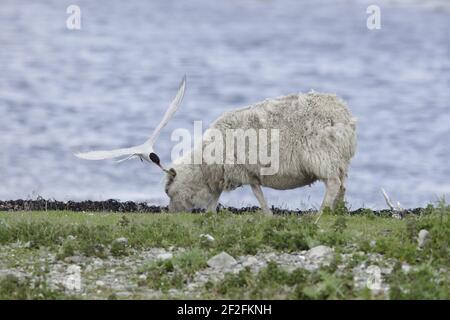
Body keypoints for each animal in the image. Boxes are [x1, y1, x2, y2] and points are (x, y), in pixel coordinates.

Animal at [163, 91, 356, 214]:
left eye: (169, 192)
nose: (171, 213)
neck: (204, 167)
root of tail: (344, 114)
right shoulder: (229, 174)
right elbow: (215, 201)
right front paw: (209, 217)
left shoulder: (244, 171)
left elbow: (258, 196)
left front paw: (268, 216)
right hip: (338, 160)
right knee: (342, 186)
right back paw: (335, 212)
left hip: (323, 157)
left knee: (333, 184)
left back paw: (321, 215)